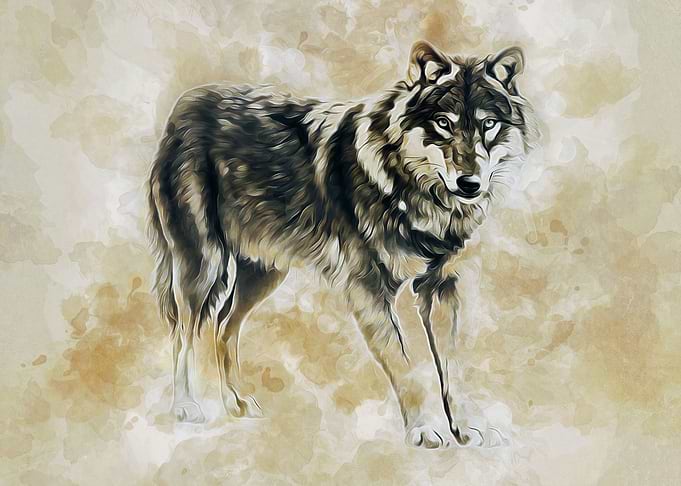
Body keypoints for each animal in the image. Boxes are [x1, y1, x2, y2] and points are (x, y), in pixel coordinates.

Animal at [147, 40, 537, 449]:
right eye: (444, 123)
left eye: (488, 124)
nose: (470, 184)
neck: (409, 188)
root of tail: (184, 104)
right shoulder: (369, 289)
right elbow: (406, 366)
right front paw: (424, 429)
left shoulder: (440, 288)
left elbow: (452, 366)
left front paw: (467, 426)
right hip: (202, 267)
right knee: (183, 334)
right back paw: (186, 406)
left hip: (264, 274)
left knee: (224, 326)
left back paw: (237, 402)